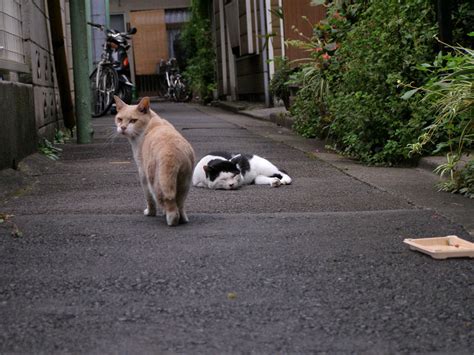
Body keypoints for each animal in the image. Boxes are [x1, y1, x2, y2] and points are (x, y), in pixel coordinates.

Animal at [114, 96, 195, 227]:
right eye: (119, 119)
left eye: (133, 121)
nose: (123, 127)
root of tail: (170, 151)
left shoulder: (142, 173)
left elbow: (149, 199)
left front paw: (150, 212)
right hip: (184, 182)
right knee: (180, 204)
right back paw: (183, 219)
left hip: (156, 181)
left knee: (171, 207)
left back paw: (171, 220)